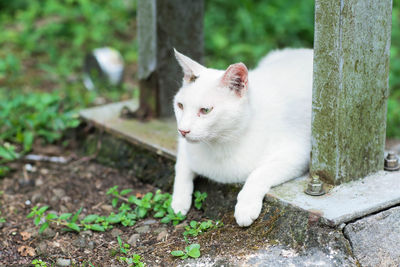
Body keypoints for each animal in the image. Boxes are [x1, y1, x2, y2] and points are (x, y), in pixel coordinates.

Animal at [170, 48, 314, 228]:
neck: (219, 143)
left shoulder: (298, 154)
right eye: (180, 106)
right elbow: (181, 167)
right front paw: (179, 201)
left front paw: (245, 207)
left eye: (206, 110)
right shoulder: (184, 146)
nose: (182, 130)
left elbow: (259, 173)